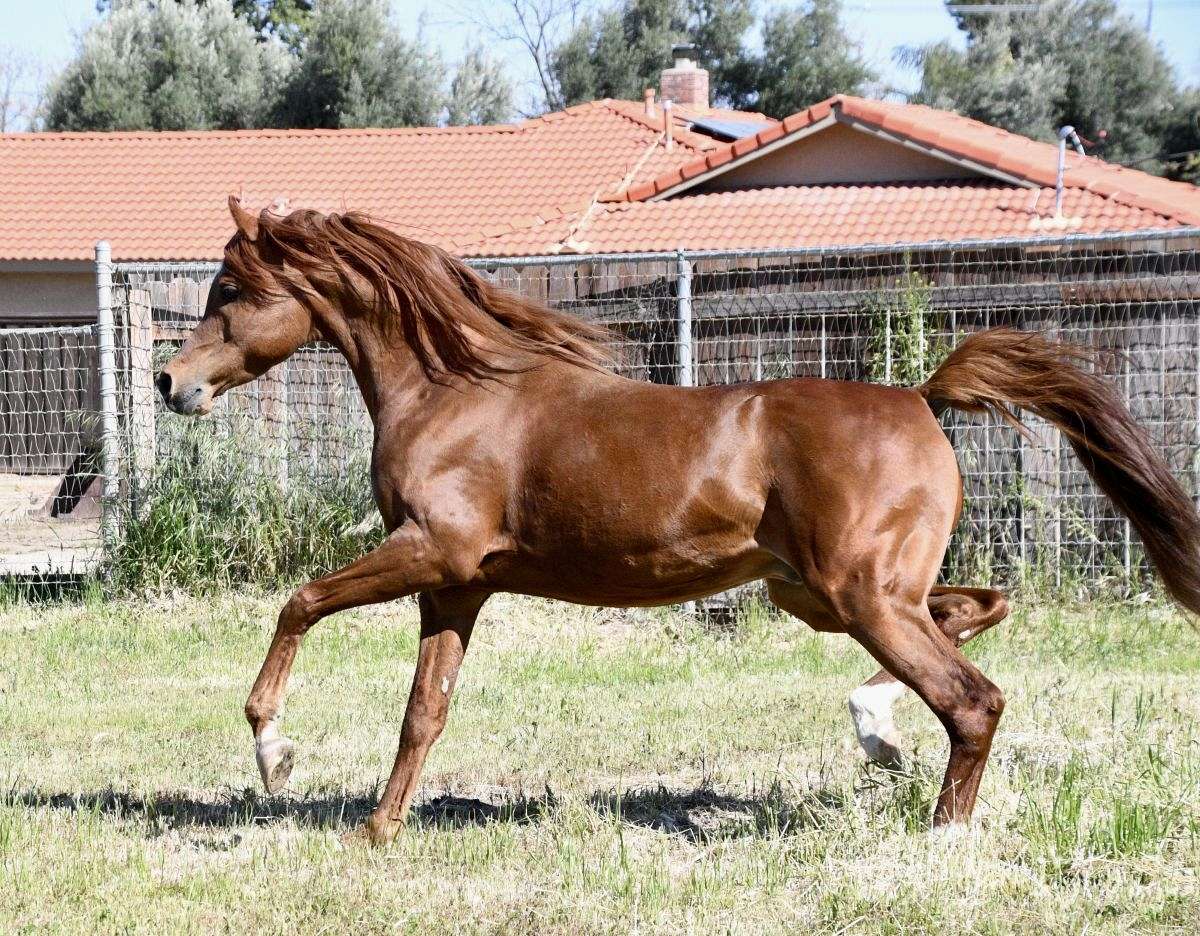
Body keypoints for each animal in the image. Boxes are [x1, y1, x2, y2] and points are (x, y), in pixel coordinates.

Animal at [156, 197, 1200, 845]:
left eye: (229, 292)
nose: (172, 383)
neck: (454, 389)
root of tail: (919, 396)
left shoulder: (429, 552)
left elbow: (299, 602)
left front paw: (274, 755)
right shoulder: (458, 586)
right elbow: (424, 712)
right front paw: (378, 829)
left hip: (857, 594)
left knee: (972, 698)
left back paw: (938, 831)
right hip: (823, 593)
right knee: (980, 608)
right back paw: (879, 734)